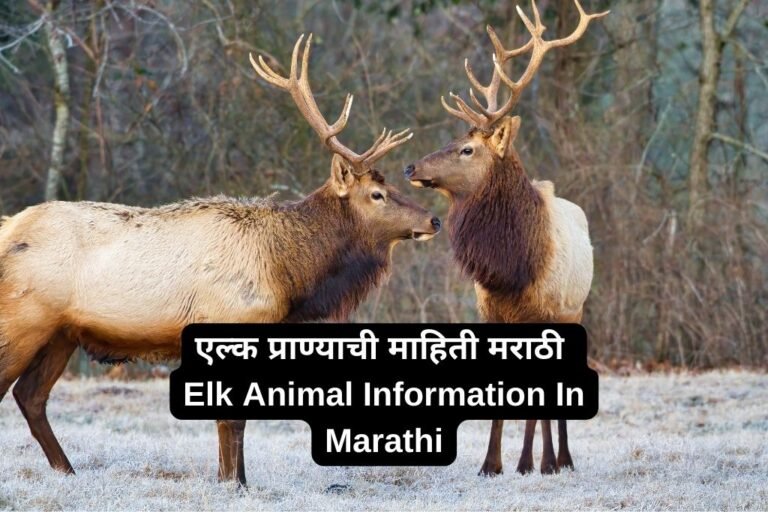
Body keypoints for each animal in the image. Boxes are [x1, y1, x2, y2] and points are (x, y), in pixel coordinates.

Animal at [0, 33, 440, 486]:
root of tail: (8, 228)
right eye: (377, 194)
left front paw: (231, 478)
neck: (288, 275)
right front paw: (235, 482)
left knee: (30, 396)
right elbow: (233, 421)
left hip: (61, 333)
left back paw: (67, 470)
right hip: (23, 319)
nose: (434, 219)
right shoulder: (233, 320)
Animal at [404, 0, 605, 476]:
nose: (411, 167)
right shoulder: (491, 312)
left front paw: (529, 462)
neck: (512, 268)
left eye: (467, 149)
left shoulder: (543, 314)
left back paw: (558, 459)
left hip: (575, 311)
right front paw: (490, 464)